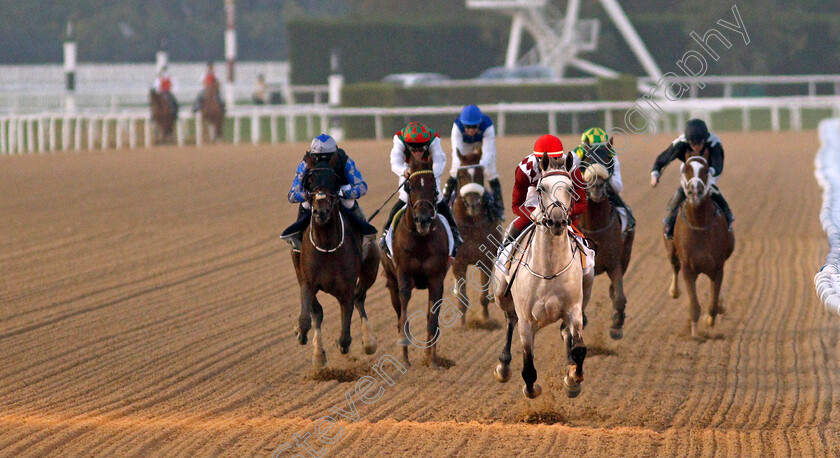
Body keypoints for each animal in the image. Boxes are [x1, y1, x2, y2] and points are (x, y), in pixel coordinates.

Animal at [290, 152, 378, 366]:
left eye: (334, 180)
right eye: (310, 180)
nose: (320, 211)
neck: (327, 246)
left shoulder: (346, 287)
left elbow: (345, 336)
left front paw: (341, 344)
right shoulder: (307, 280)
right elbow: (310, 315)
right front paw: (314, 348)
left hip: (371, 267)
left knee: (360, 297)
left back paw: (369, 341)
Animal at [380, 156, 452, 366]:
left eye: (434, 188)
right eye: (409, 187)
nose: (423, 220)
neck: (421, 239)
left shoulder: (436, 280)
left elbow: (432, 320)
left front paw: (432, 360)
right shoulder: (403, 278)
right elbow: (404, 317)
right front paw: (405, 359)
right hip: (392, 282)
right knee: (398, 315)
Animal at [452, 148, 498, 326]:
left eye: (479, 174)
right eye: (461, 175)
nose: (472, 203)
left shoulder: (485, 261)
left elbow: (484, 296)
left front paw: (485, 319)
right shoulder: (458, 263)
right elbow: (462, 298)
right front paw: (463, 324)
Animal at [580, 144, 632, 340]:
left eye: (608, 160)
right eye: (586, 160)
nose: (596, 187)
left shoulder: (614, 262)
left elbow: (619, 296)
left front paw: (617, 324)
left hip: (626, 255)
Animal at [668, 154, 732, 336]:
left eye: (705, 170)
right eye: (686, 169)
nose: (694, 191)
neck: (699, 223)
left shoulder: (717, 267)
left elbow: (713, 304)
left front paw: (710, 319)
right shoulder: (688, 269)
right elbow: (694, 306)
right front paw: (695, 333)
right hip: (671, 250)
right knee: (674, 266)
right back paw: (674, 291)